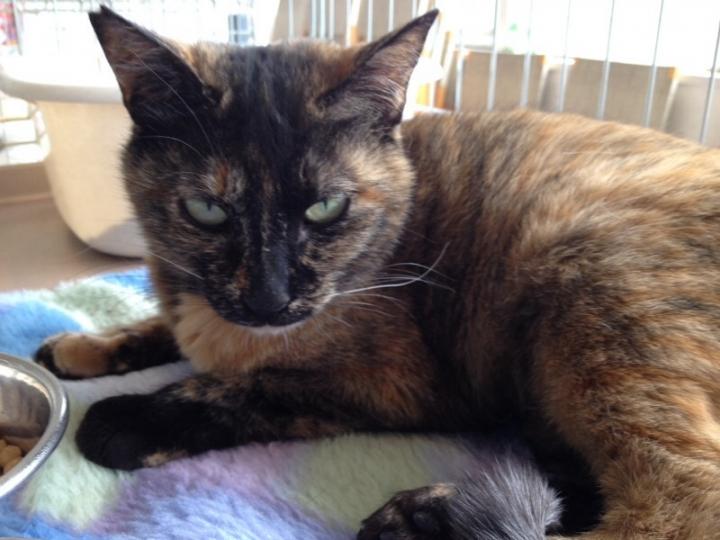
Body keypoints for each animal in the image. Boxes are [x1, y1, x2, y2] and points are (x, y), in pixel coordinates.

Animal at [34, 6, 720, 539]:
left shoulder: (390, 381)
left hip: (588, 277)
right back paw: (433, 518)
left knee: (683, 500)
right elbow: (159, 327)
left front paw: (126, 419)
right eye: (207, 210)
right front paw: (84, 345)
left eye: (326, 207)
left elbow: (246, 387)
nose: (268, 298)